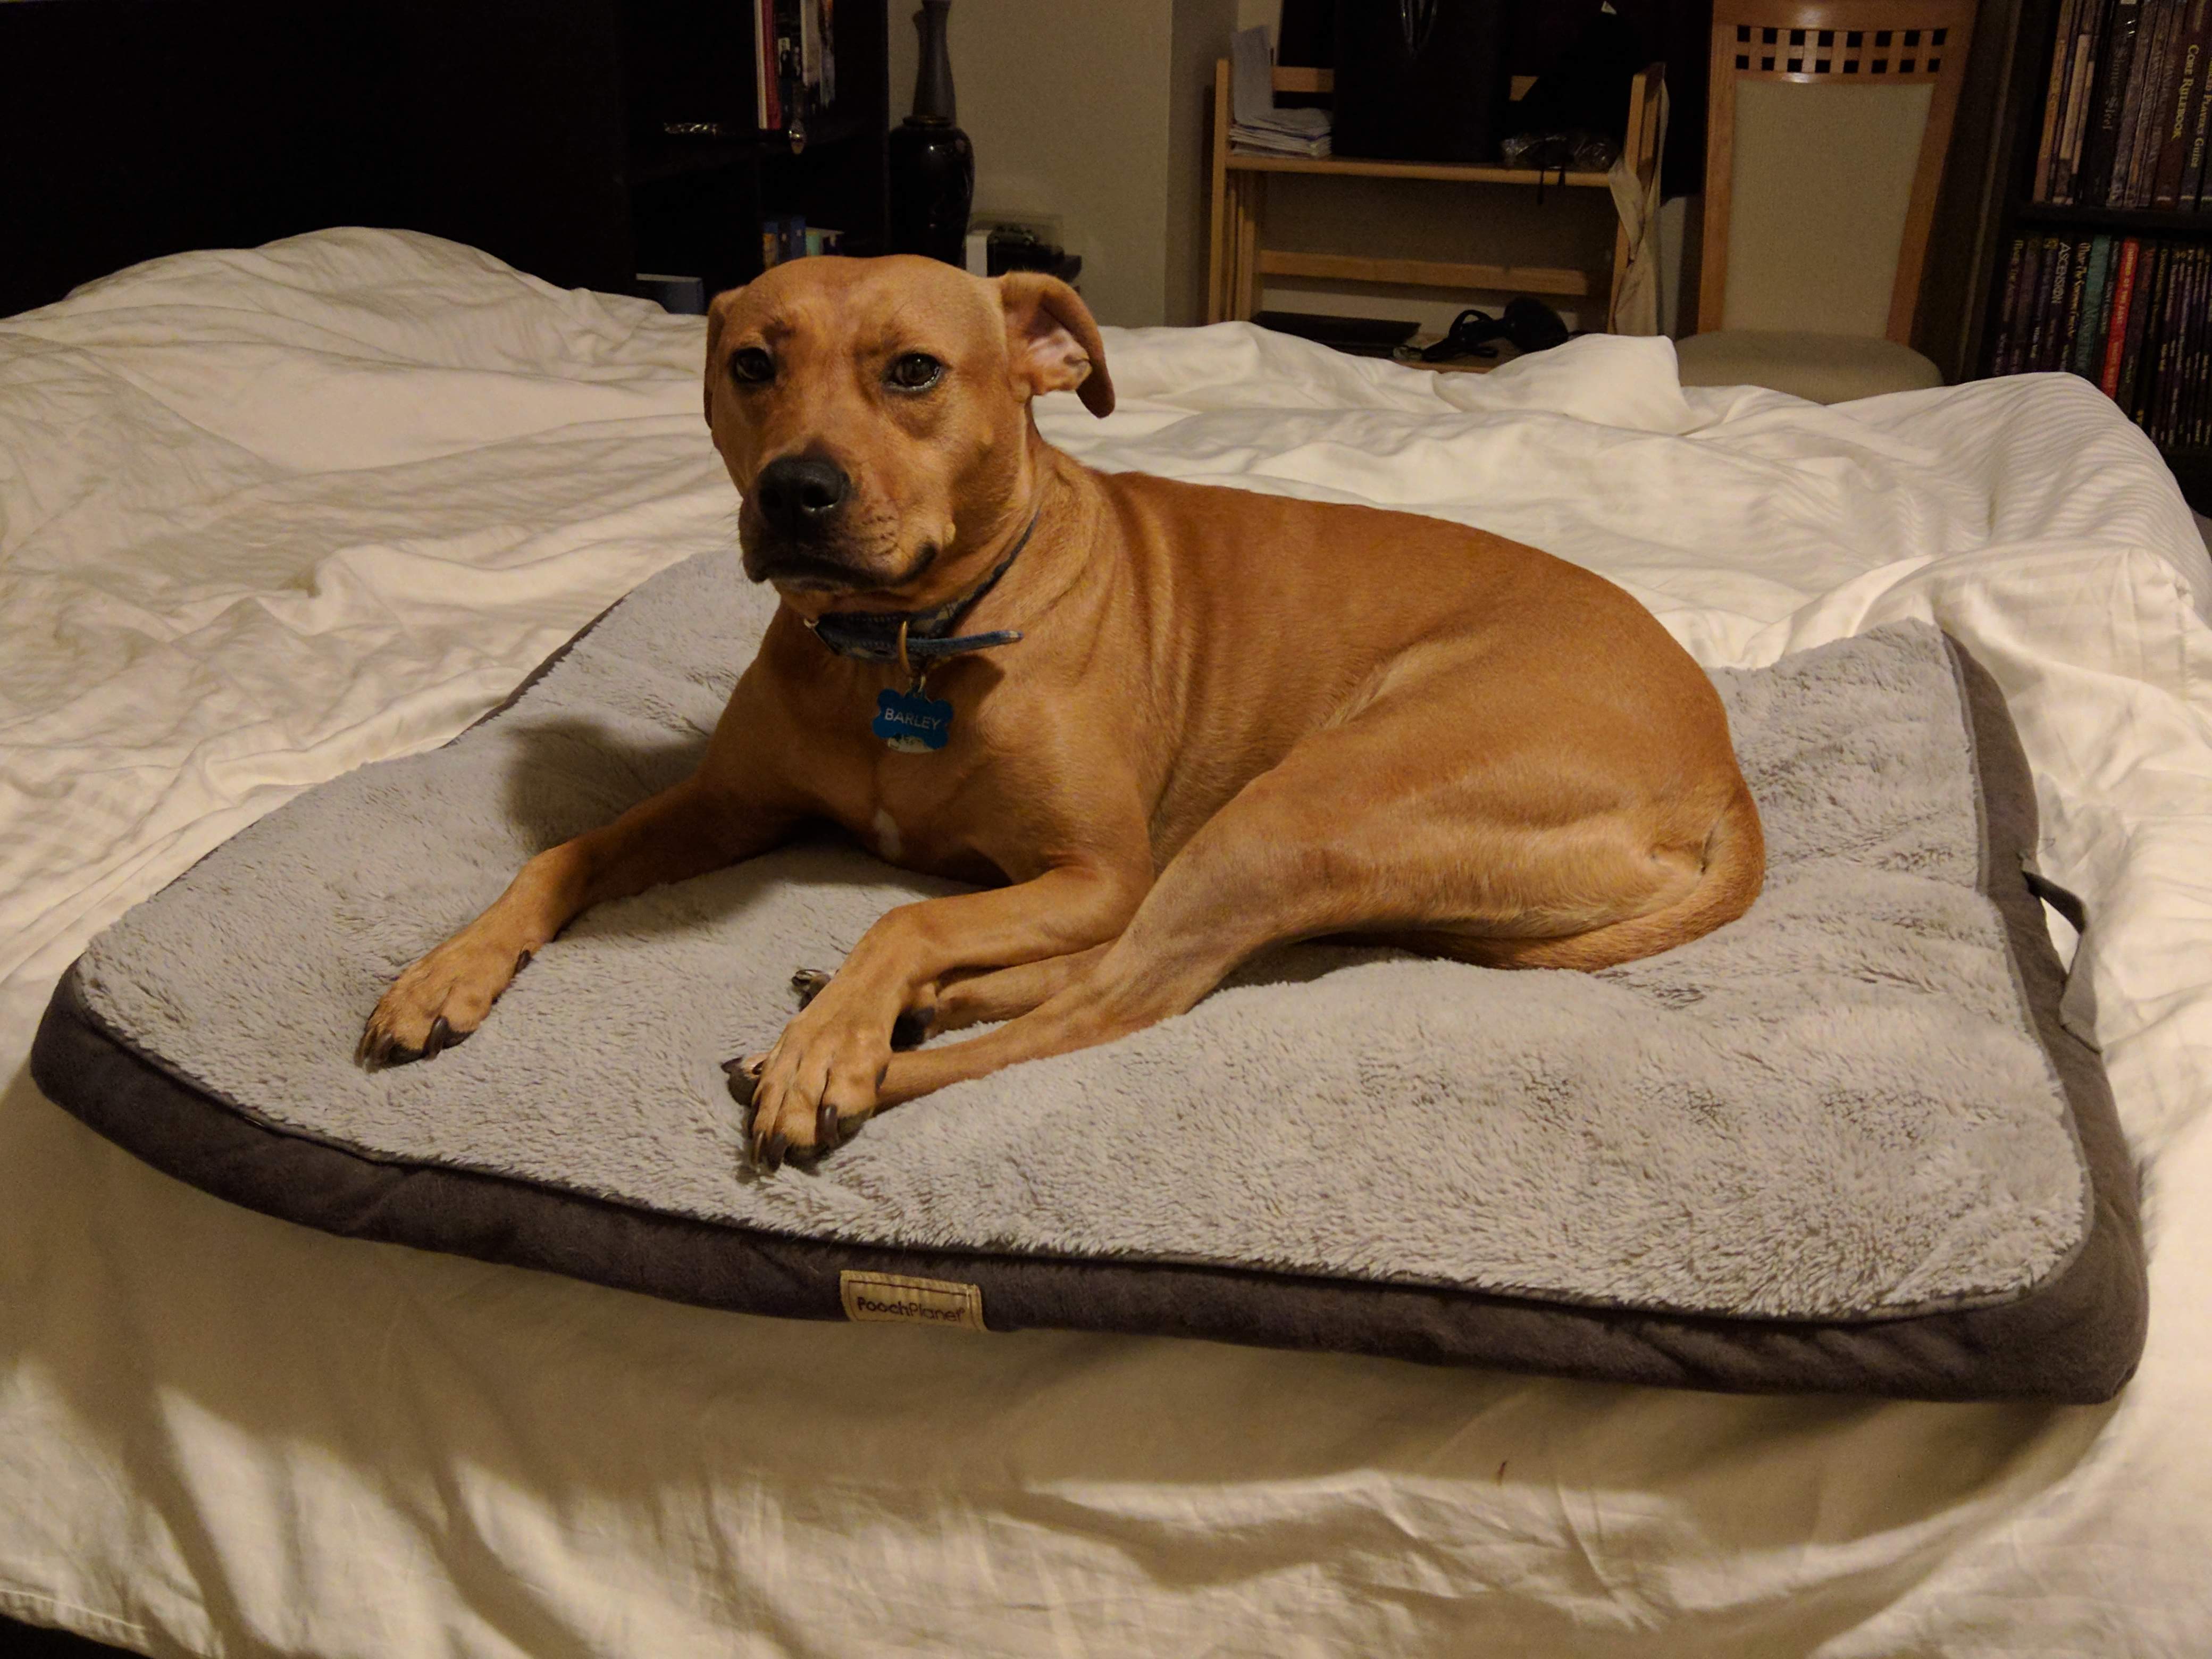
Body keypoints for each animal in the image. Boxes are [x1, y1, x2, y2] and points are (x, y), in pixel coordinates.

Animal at [363, 256, 1761, 1168]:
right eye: (750, 365)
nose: (794, 491)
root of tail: (1725, 773)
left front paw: (833, 1042)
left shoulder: (1091, 864)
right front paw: (446, 969)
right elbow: (563, 851)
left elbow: (911, 914)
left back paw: (854, 1046)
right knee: (1115, 967)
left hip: (1306, 802)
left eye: (914, 372)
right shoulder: (726, 805)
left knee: (1121, 995)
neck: (902, 646)